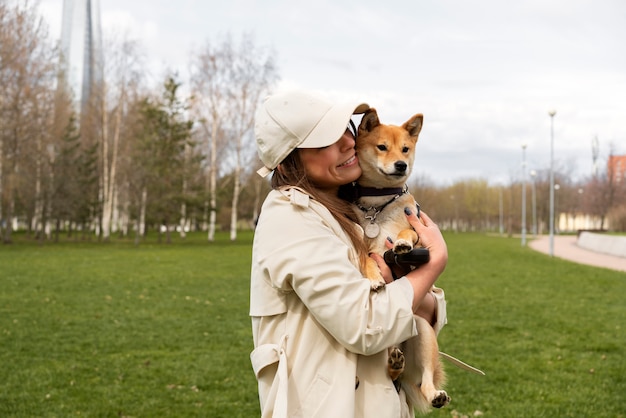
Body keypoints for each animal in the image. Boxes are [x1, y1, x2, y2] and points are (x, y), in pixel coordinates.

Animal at [352, 108, 448, 412]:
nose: (401, 165)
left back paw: (432, 393)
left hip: (424, 332)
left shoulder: (416, 230)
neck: (377, 205)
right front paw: (374, 279)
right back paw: (394, 365)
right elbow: (368, 260)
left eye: (406, 149)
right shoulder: (364, 246)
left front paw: (402, 243)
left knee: (424, 379)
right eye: (382, 147)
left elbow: (407, 233)